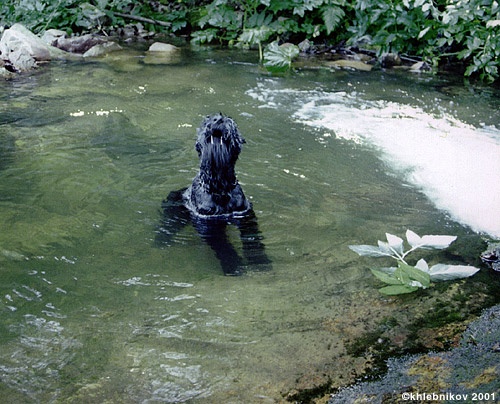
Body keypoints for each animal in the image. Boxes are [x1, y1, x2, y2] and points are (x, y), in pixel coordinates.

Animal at [158, 113, 272, 274]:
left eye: (231, 122)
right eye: (206, 121)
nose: (218, 119)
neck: (220, 187)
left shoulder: (245, 214)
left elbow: (252, 238)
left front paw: (260, 261)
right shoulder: (208, 222)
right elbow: (223, 246)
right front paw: (233, 265)